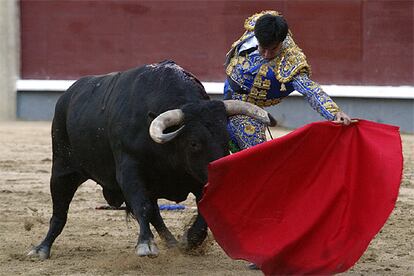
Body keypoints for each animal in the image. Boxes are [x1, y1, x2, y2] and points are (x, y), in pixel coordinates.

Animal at [27, 60, 276, 258]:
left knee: (156, 213)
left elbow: (200, 208)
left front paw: (190, 240)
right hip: (63, 168)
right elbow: (142, 206)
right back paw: (41, 249)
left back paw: (173, 243)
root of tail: (68, 95)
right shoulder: (130, 172)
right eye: (194, 143)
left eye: (226, 140)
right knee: (60, 211)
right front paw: (146, 245)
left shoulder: (198, 177)